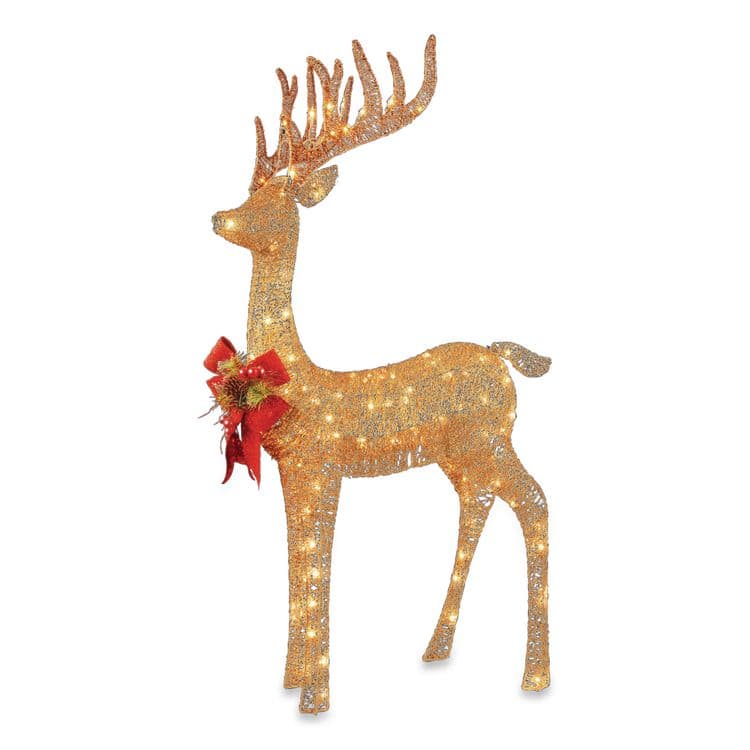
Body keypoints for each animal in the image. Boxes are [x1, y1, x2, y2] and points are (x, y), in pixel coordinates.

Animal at [210, 35, 551, 714]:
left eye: (272, 204)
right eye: (247, 192)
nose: (218, 217)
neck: (298, 380)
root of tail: (501, 357)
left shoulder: (324, 466)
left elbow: (319, 563)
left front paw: (316, 698)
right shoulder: (294, 471)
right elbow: (298, 560)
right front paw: (292, 679)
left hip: (492, 439)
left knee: (535, 502)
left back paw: (534, 677)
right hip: (459, 453)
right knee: (479, 506)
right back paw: (436, 648)